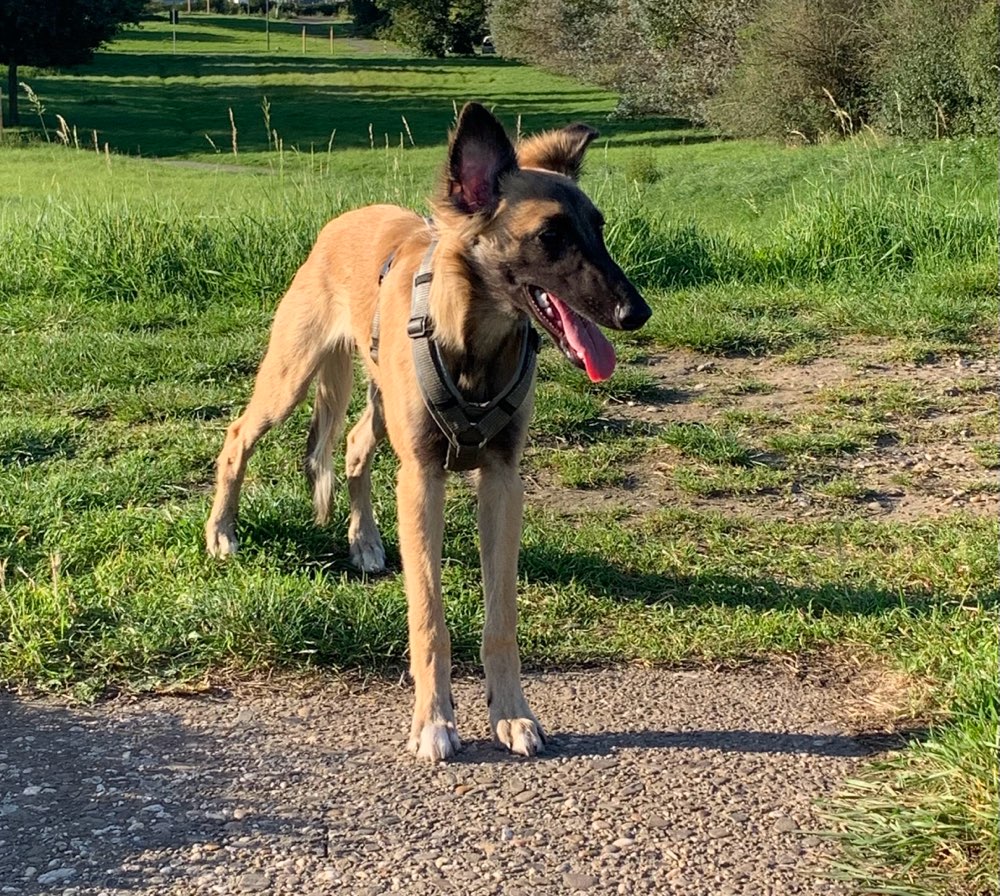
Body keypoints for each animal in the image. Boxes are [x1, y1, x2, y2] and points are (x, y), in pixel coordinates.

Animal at [207, 101, 652, 760]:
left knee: (355, 445)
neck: (472, 342)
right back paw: (222, 532)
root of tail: (340, 222)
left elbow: (501, 620)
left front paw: (512, 714)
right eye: (551, 236)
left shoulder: (502, 480)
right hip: (290, 377)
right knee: (238, 437)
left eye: (598, 228)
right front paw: (434, 720)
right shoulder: (423, 478)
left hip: (379, 398)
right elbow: (429, 618)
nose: (636, 312)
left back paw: (364, 541)